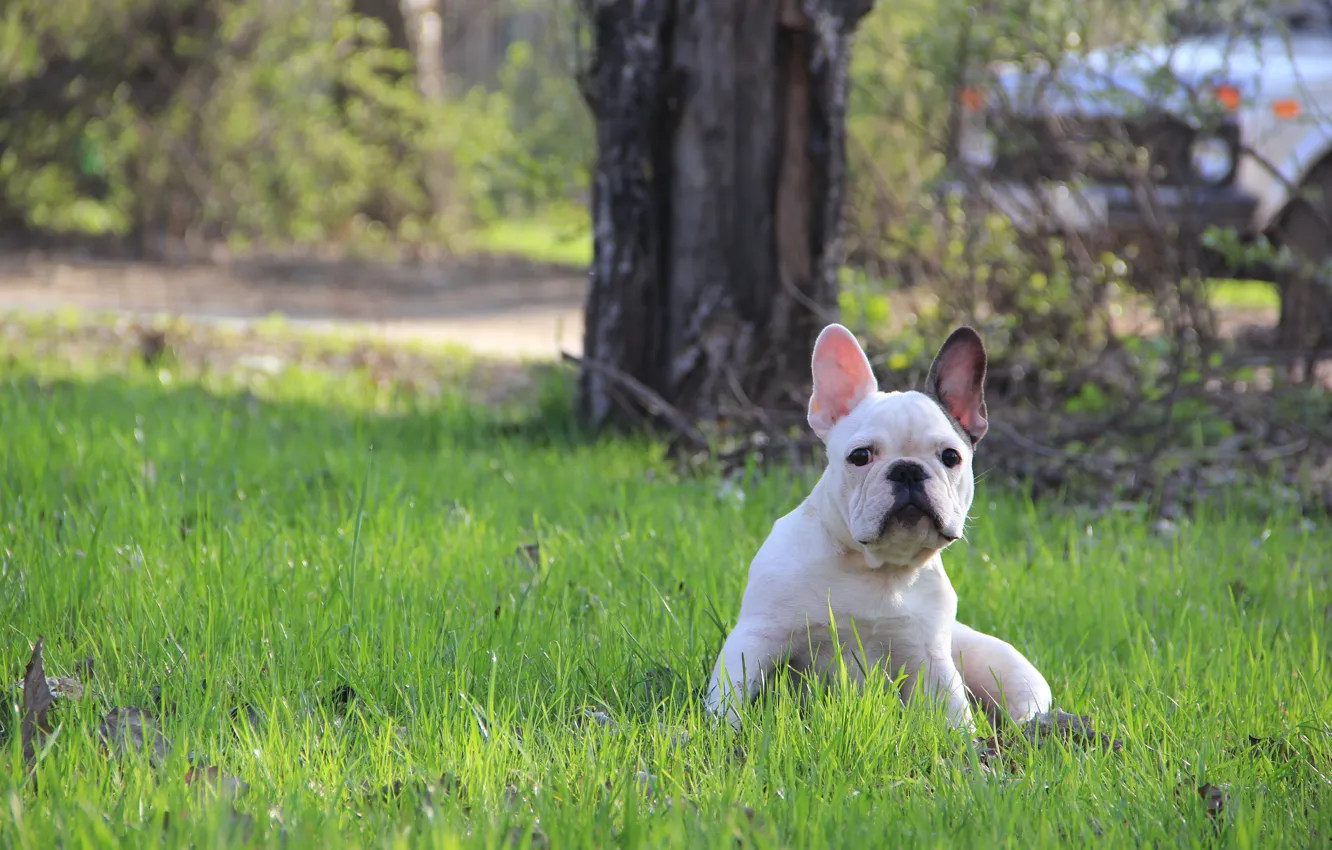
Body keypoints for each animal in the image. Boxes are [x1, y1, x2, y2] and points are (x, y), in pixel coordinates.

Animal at [703, 322, 1054, 735]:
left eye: (950, 456)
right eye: (860, 456)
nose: (907, 470)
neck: (876, 567)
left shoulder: (931, 661)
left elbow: (954, 714)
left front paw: (965, 744)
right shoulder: (756, 637)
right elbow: (730, 696)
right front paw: (720, 734)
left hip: (1006, 667)